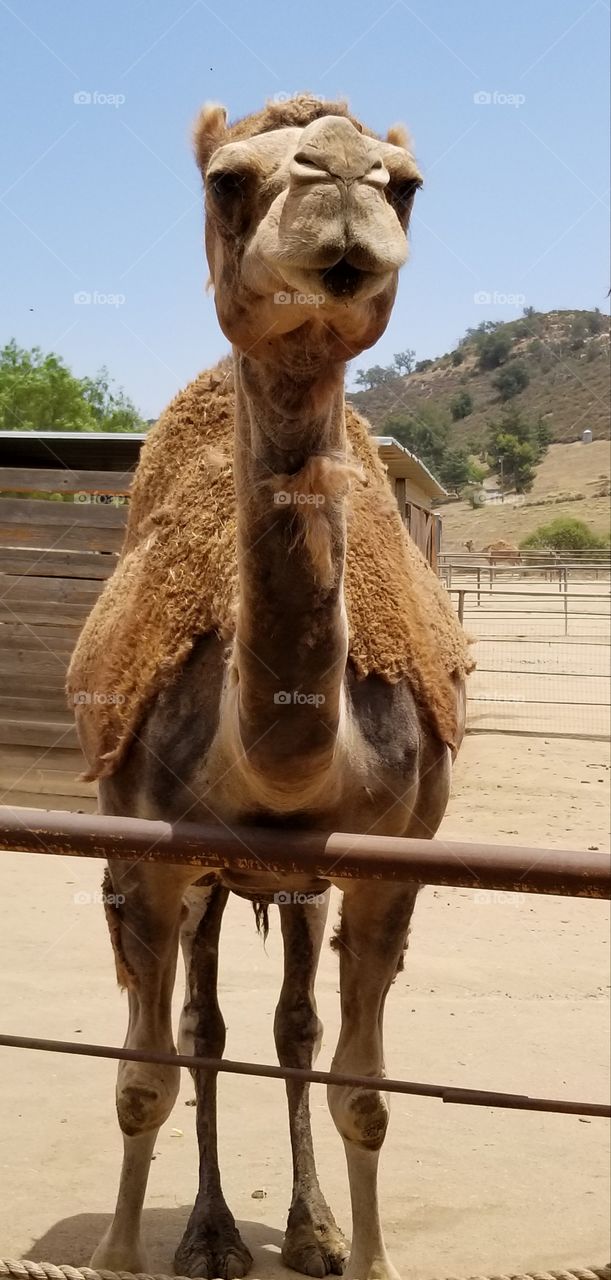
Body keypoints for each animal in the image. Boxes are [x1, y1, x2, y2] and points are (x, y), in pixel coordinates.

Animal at [71, 96, 467, 1280]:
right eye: (226, 182)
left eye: (405, 185)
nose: (336, 171)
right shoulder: (147, 858)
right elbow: (144, 1076)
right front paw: (118, 1253)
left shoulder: (389, 865)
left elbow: (361, 1090)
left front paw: (365, 1252)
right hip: (205, 873)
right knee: (203, 1029)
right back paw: (208, 1236)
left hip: (294, 883)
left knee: (289, 1025)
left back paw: (306, 1229)